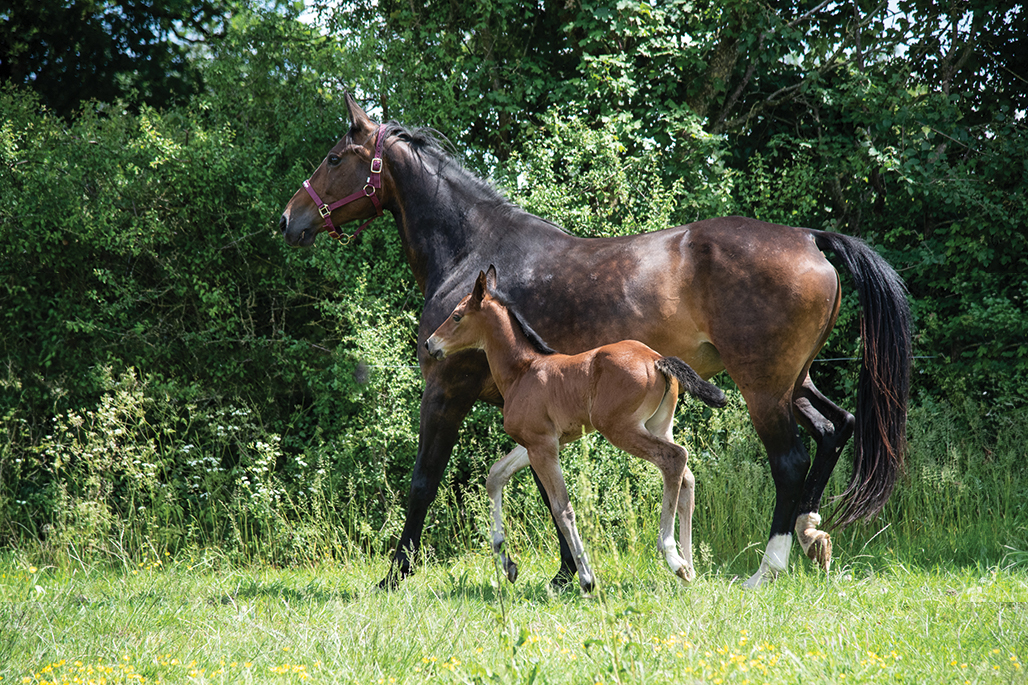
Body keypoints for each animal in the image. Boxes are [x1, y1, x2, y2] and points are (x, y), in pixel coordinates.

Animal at [426, 265, 727, 590]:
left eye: (457, 316)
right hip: (659, 425)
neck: (522, 371)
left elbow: (562, 508)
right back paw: (689, 569)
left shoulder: (542, 446)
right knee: (687, 478)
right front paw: (507, 565)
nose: (431, 344)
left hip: (621, 429)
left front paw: (586, 579)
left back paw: (673, 557)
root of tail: (657, 359)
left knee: (674, 458)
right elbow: (496, 475)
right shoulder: (538, 443)